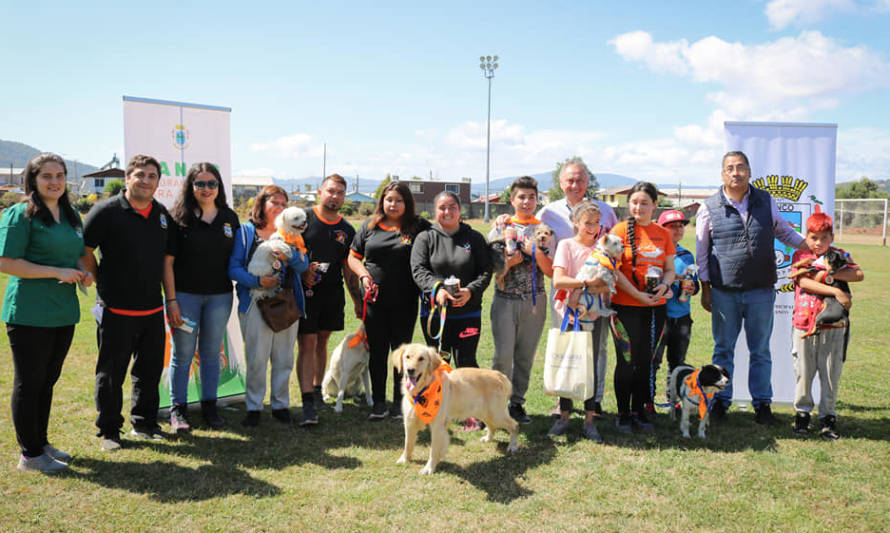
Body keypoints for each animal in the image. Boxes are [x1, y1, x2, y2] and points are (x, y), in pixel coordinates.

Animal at [390, 344, 520, 474]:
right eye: (407, 357)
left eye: (421, 358)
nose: (410, 370)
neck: (423, 390)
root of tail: (500, 375)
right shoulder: (409, 422)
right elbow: (408, 444)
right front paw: (404, 459)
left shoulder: (437, 426)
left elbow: (433, 450)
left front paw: (429, 468)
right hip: (484, 412)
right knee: (492, 426)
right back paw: (487, 438)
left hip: (496, 414)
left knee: (514, 425)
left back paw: (512, 446)